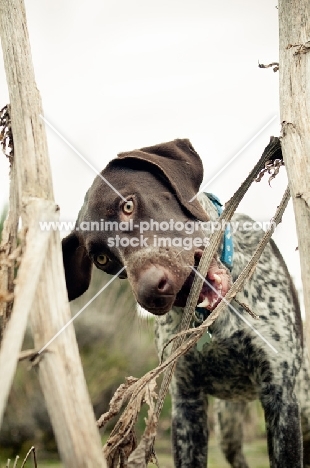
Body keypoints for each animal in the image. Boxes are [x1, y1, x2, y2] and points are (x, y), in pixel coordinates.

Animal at [62, 140, 310, 468]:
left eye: (128, 206)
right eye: (102, 258)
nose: (151, 293)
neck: (212, 322)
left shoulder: (280, 397)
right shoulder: (186, 405)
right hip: (228, 424)